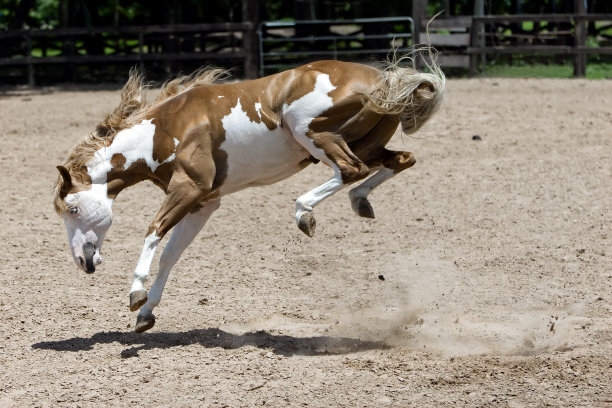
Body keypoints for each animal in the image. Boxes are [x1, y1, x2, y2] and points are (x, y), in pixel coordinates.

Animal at [52, 55, 444, 334]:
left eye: (72, 210)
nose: (82, 261)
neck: (162, 132)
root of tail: (383, 79)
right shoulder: (203, 203)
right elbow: (170, 255)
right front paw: (146, 312)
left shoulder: (190, 188)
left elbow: (152, 232)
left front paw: (135, 293)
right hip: (365, 142)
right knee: (399, 160)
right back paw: (360, 202)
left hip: (313, 133)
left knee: (350, 170)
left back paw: (305, 212)